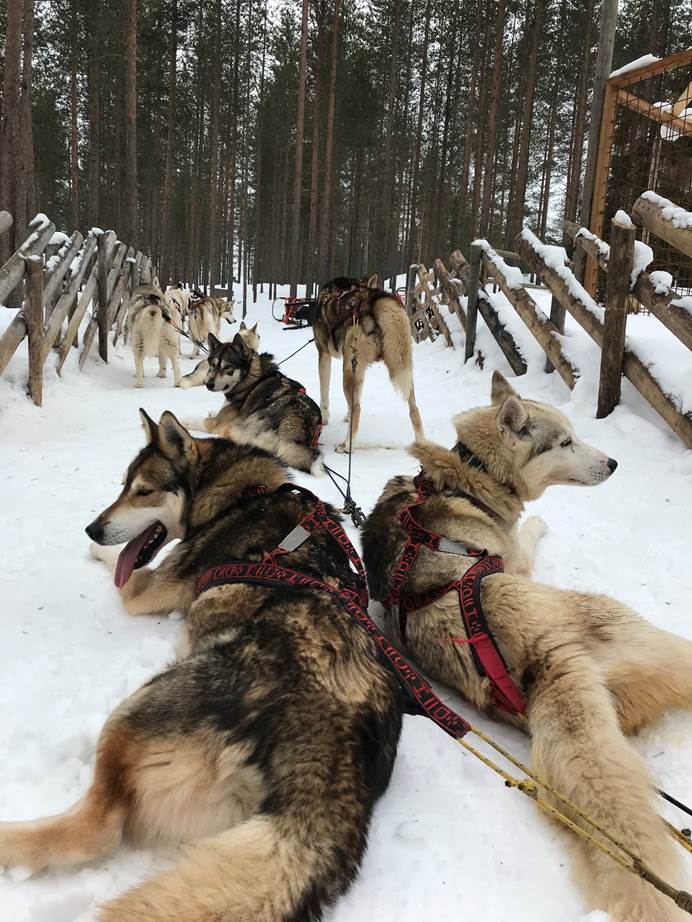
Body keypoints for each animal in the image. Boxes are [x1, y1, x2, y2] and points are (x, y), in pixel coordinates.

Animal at [0, 414, 402, 916]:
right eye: (123, 486)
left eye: (144, 491)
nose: (92, 529)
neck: (238, 495)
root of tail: (333, 749)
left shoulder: (145, 590)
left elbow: (124, 570)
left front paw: (99, 552)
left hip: (134, 711)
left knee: (97, 828)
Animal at [184, 332, 324, 474]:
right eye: (212, 365)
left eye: (228, 367)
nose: (209, 384)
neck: (249, 379)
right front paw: (213, 411)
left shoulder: (215, 423)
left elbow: (195, 420)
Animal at [314, 274, 422, 452]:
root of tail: (374, 299)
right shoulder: (359, 372)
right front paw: (345, 416)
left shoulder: (323, 355)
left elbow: (324, 394)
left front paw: (324, 418)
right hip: (401, 368)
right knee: (414, 409)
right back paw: (423, 445)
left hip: (348, 370)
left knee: (357, 409)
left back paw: (346, 445)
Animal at [362, 372, 692, 920]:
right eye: (565, 442)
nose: (614, 463)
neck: (471, 475)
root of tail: (544, 657)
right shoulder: (517, 558)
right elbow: (529, 539)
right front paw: (538, 525)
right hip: (631, 627)